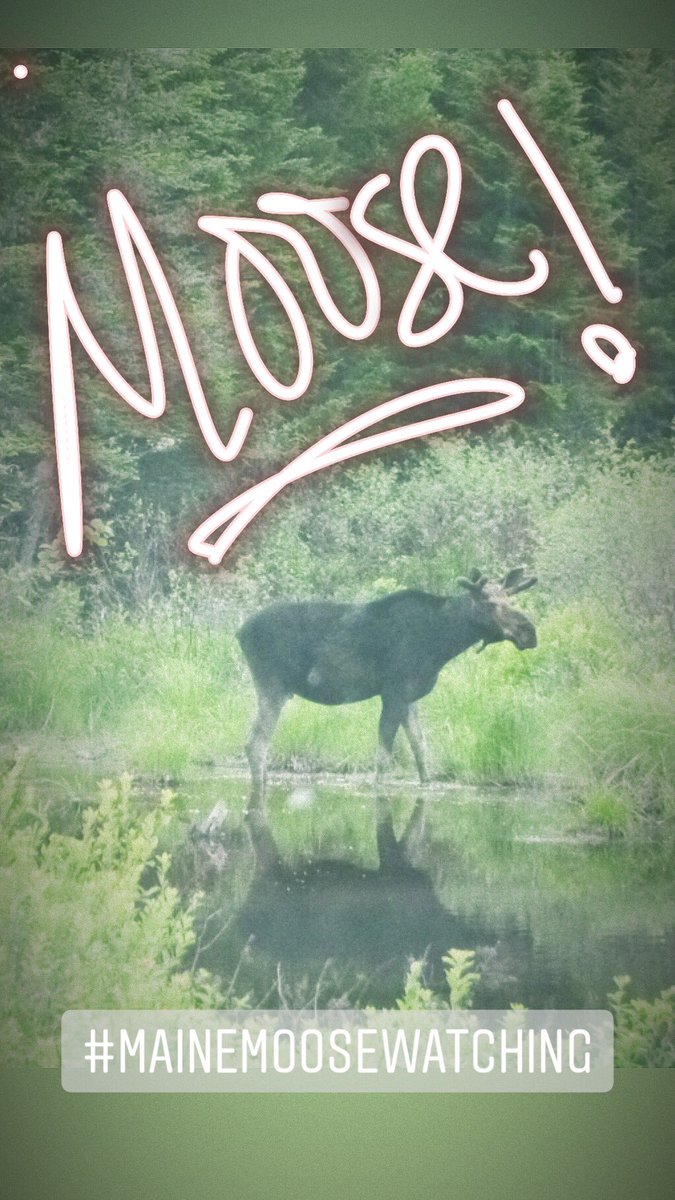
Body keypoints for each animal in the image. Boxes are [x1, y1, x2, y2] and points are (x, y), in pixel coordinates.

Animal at [237, 567, 537, 805]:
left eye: (509, 599)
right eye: (489, 604)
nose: (530, 632)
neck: (442, 644)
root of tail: (239, 632)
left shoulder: (410, 697)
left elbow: (420, 749)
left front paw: (426, 785)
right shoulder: (393, 693)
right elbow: (383, 758)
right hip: (272, 685)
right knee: (255, 743)